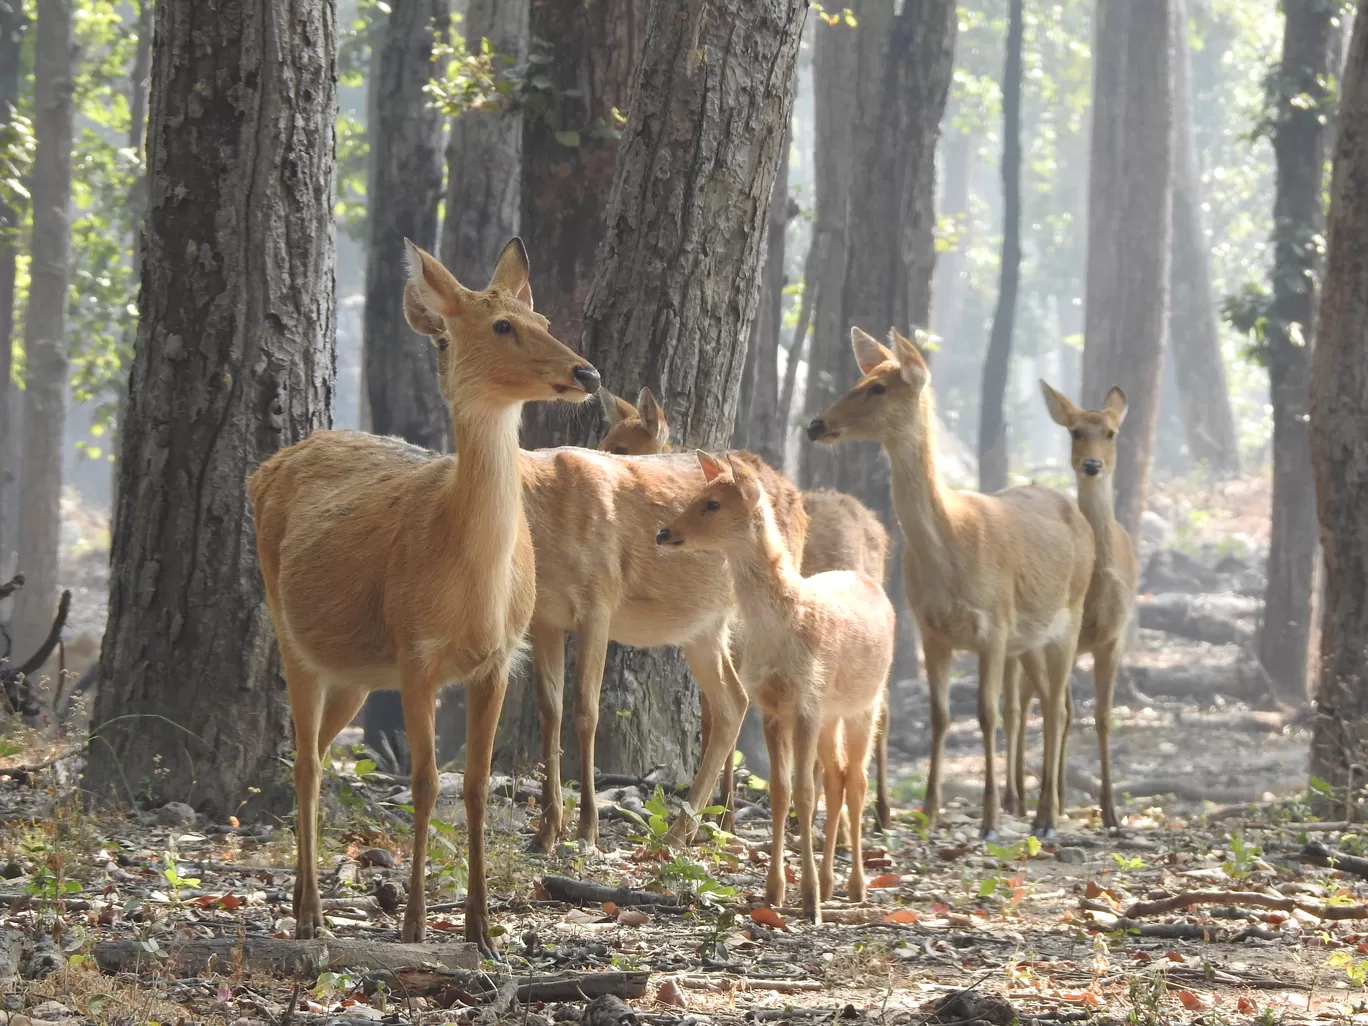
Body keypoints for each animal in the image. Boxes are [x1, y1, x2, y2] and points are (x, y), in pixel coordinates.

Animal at [250, 236, 599, 952]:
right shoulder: (416, 651)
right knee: (305, 764)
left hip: (355, 671)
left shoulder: (500, 658)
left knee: (317, 752)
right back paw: (311, 914)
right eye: (502, 326)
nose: (588, 373)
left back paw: (304, 899)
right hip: (291, 631)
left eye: (544, 318)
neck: (472, 588)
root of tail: (262, 471)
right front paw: (413, 923)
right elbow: (424, 780)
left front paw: (482, 929)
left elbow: (475, 785)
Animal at [653, 451, 897, 924]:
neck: (784, 628)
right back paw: (831, 882)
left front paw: (809, 902)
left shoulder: (806, 701)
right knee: (836, 777)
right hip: (831, 716)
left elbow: (804, 792)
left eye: (712, 503)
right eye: (695, 495)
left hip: (865, 704)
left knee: (855, 780)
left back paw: (856, 886)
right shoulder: (771, 705)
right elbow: (782, 792)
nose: (663, 533)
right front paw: (776, 892)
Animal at [804, 329, 1094, 842]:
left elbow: (986, 713)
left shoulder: (994, 626)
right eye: (861, 379)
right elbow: (939, 715)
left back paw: (1044, 816)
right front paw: (929, 811)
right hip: (1032, 639)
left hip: (1071, 614)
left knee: (1057, 707)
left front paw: (990, 819)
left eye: (878, 388)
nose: (816, 425)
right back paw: (1046, 806)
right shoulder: (930, 630)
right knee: (1053, 703)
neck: (952, 549)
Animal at [1006, 383, 1143, 831]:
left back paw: (1058, 798)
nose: (1092, 465)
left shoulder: (1112, 638)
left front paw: (1112, 813)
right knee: (1017, 708)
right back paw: (1015, 799)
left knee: (1050, 705)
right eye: (1075, 431)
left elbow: (1101, 717)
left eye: (1112, 432)